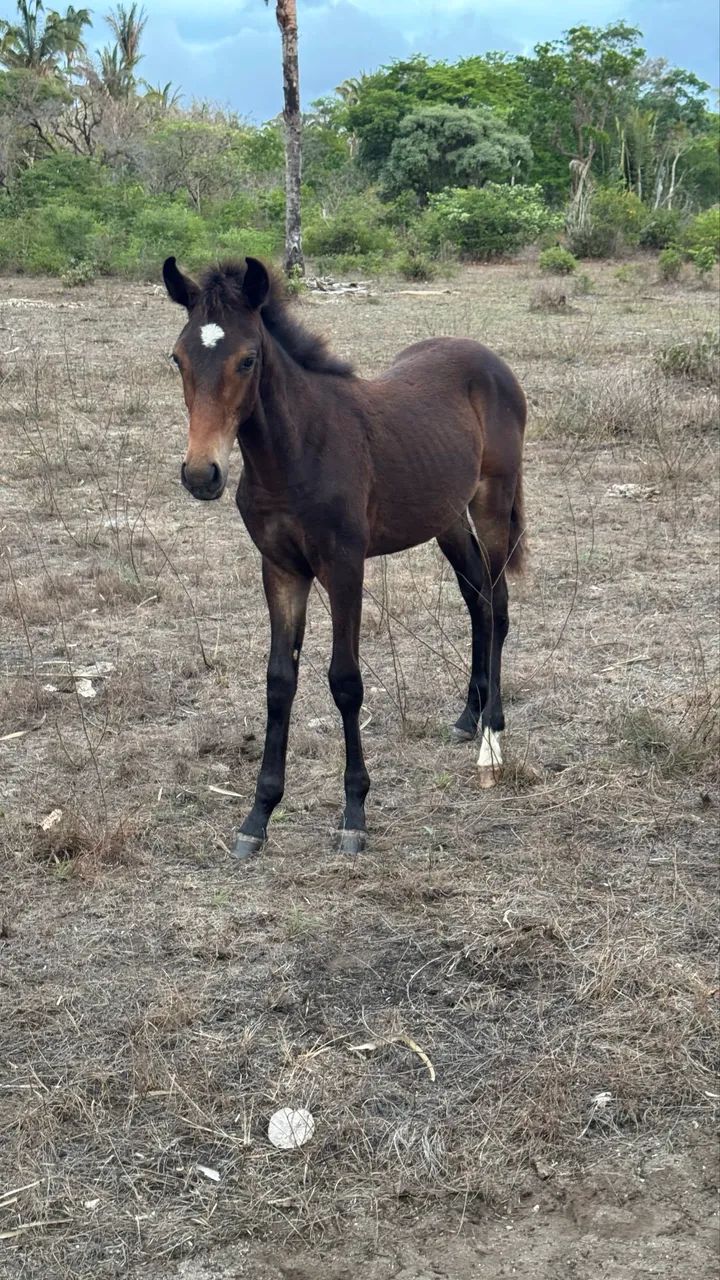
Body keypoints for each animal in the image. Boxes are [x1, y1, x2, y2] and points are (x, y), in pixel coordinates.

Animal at [163, 255, 527, 859]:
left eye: (247, 359)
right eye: (178, 357)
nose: (200, 474)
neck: (293, 455)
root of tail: (489, 359)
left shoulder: (343, 567)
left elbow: (345, 681)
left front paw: (354, 812)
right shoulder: (281, 569)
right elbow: (279, 682)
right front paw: (258, 816)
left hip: (492, 504)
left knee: (497, 603)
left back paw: (492, 739)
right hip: (447, 517)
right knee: (476, 598)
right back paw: (467, 716)